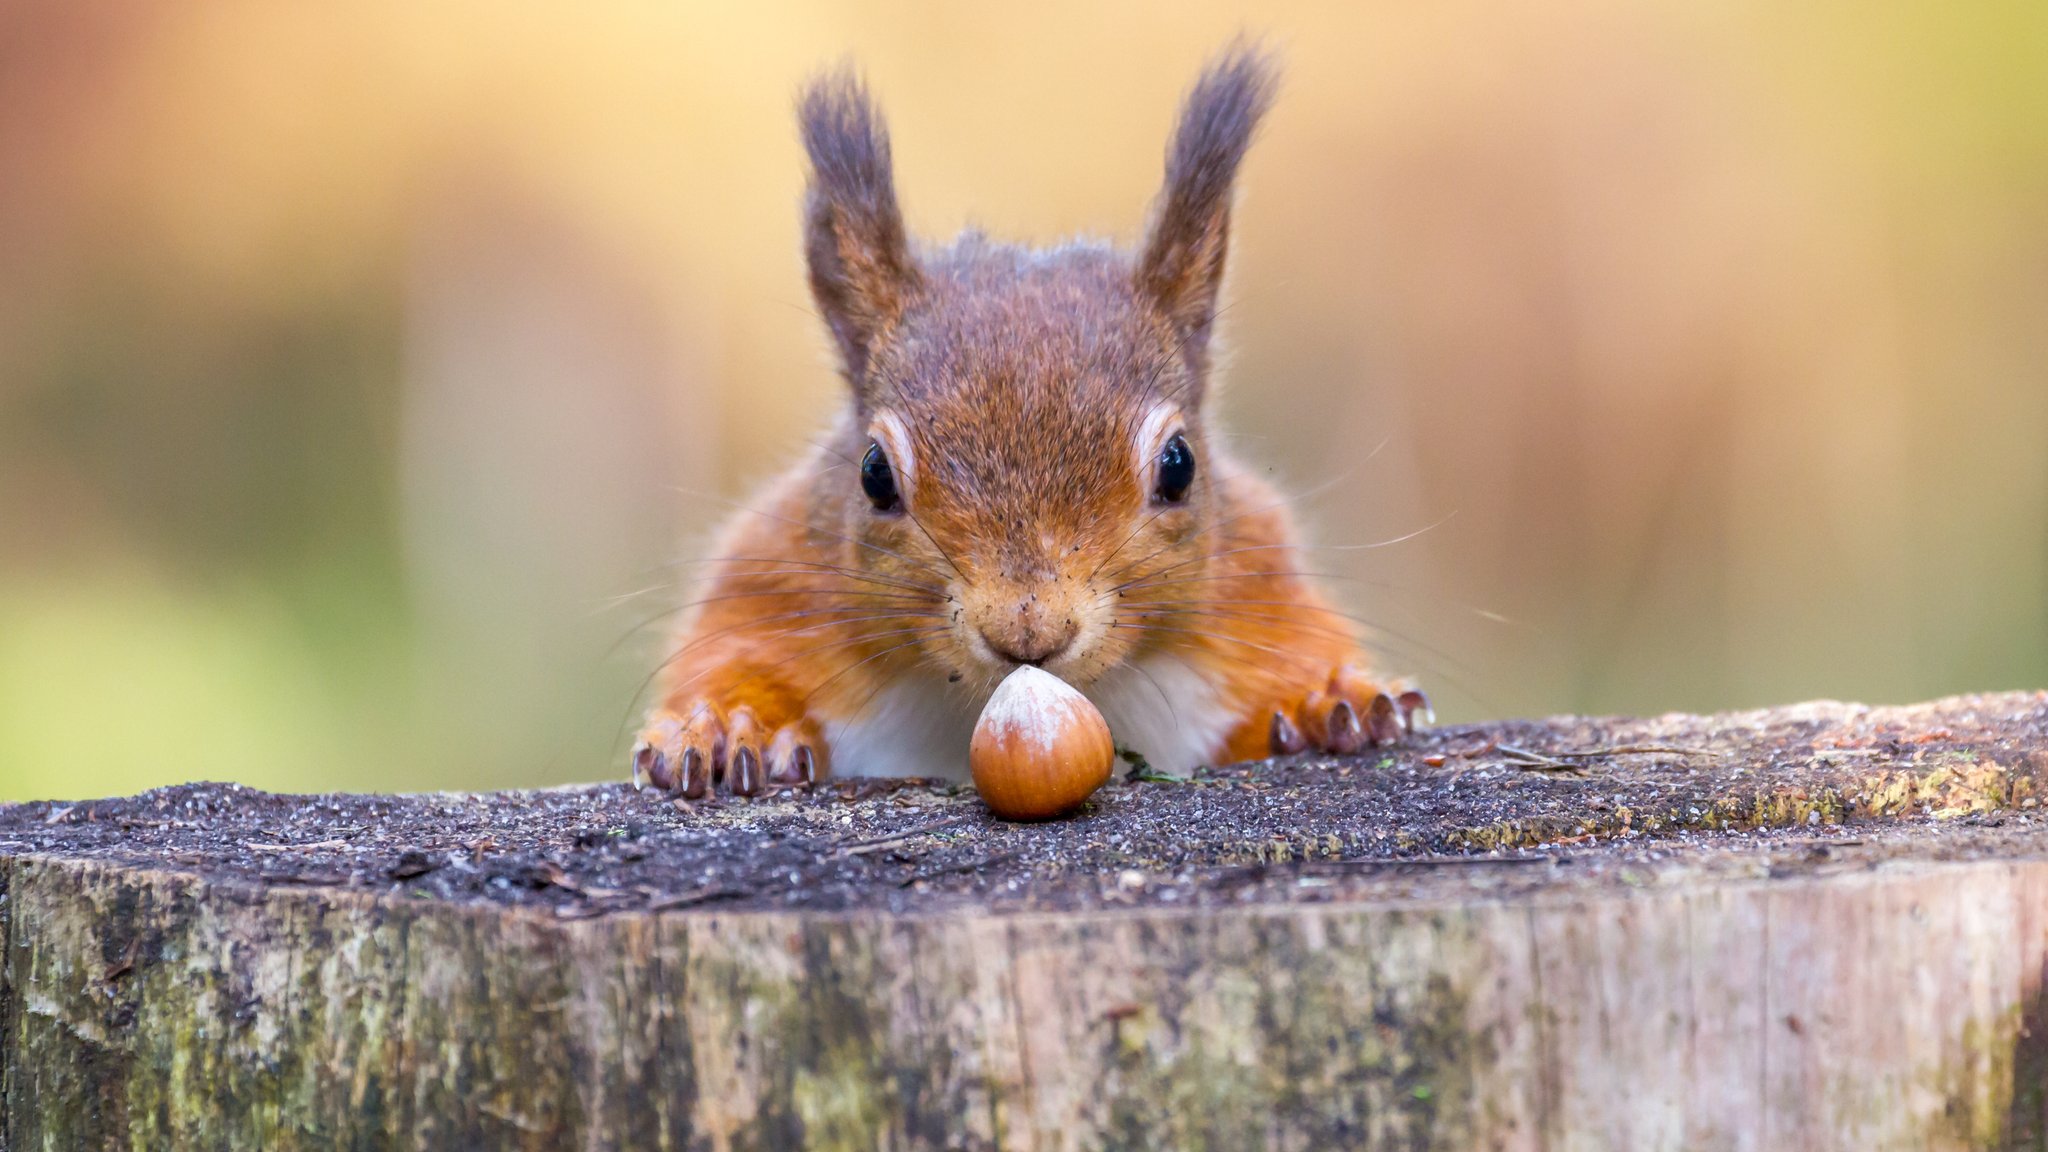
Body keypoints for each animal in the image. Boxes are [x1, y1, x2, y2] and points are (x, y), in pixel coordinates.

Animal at [632, 44, 1427, 798]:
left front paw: (1332, 701)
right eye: (873, 475)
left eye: (1179, 466)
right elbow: (733, 654)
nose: (1029, 629)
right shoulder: (774, 582)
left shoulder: (1257, 582)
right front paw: (727, 725)